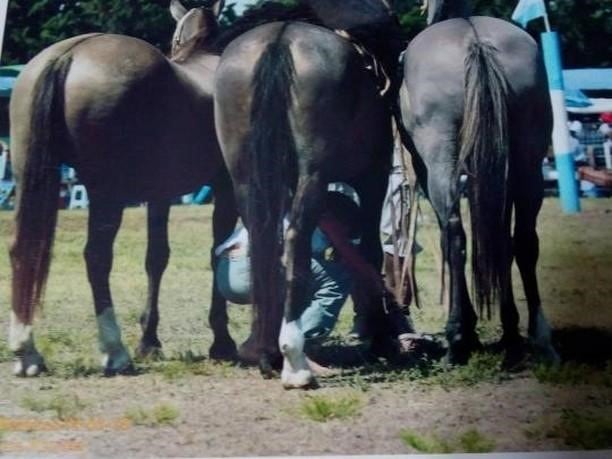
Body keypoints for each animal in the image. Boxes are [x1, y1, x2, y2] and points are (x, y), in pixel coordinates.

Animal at [8, 0, 241, 378]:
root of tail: (68, 54)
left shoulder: (160, 196)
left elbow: (156, 258)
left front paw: (150, 341)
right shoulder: (226, 188)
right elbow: (216, 251)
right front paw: (222, 341)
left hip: (30, 174)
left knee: (20, 250)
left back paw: (27, 353)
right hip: (106, 194)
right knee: (97, 257)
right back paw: (114, 352)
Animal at [214, 0, 402, 390]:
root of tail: (279, 40)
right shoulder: (372, 176)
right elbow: (370, 251)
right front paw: (380, 337)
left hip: (245, 175)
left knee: (265, 242)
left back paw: (267, 352)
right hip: (314, 172)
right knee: (295, 240)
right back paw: (295, 361)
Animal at [396, 0, 560, 364]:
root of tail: (476, 42)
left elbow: (451, 239)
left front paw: (467, 330)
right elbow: (500, 241)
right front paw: (508, 327)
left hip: (440, 161)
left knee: (456, 235)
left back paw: (456, 339)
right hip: (527, 165)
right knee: (523, 241)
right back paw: (536, 338)